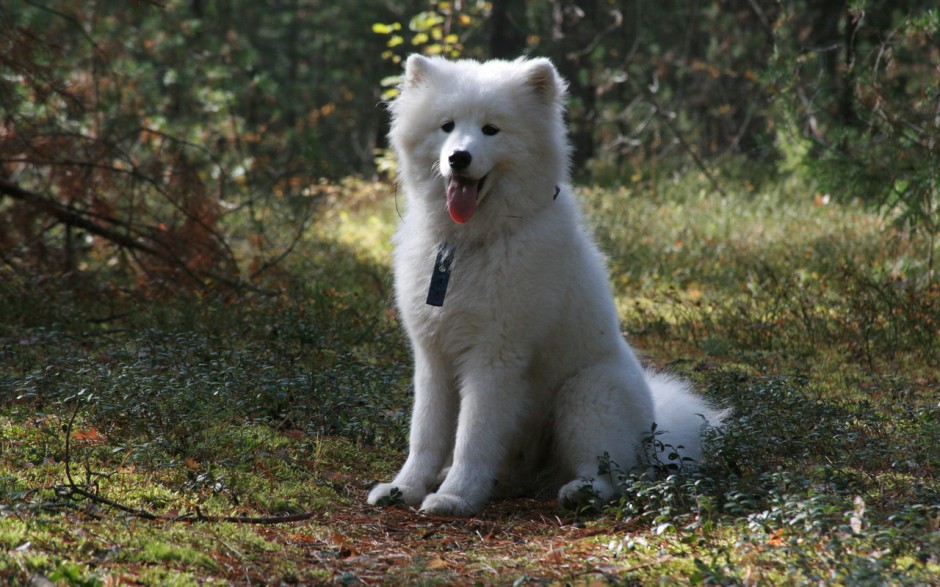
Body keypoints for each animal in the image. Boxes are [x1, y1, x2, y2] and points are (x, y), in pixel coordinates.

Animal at [370, 55, 724, 516]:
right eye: (447, 126)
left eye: (491, 129)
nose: (459, 158)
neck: (468, 244)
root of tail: (655, 433)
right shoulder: (433, 357)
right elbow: (425, 435)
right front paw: (406, 488)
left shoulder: (495, 357)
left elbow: (472, 437)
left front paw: (455, 496)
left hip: (586, 394)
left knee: (611, 474)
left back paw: (579, 491)